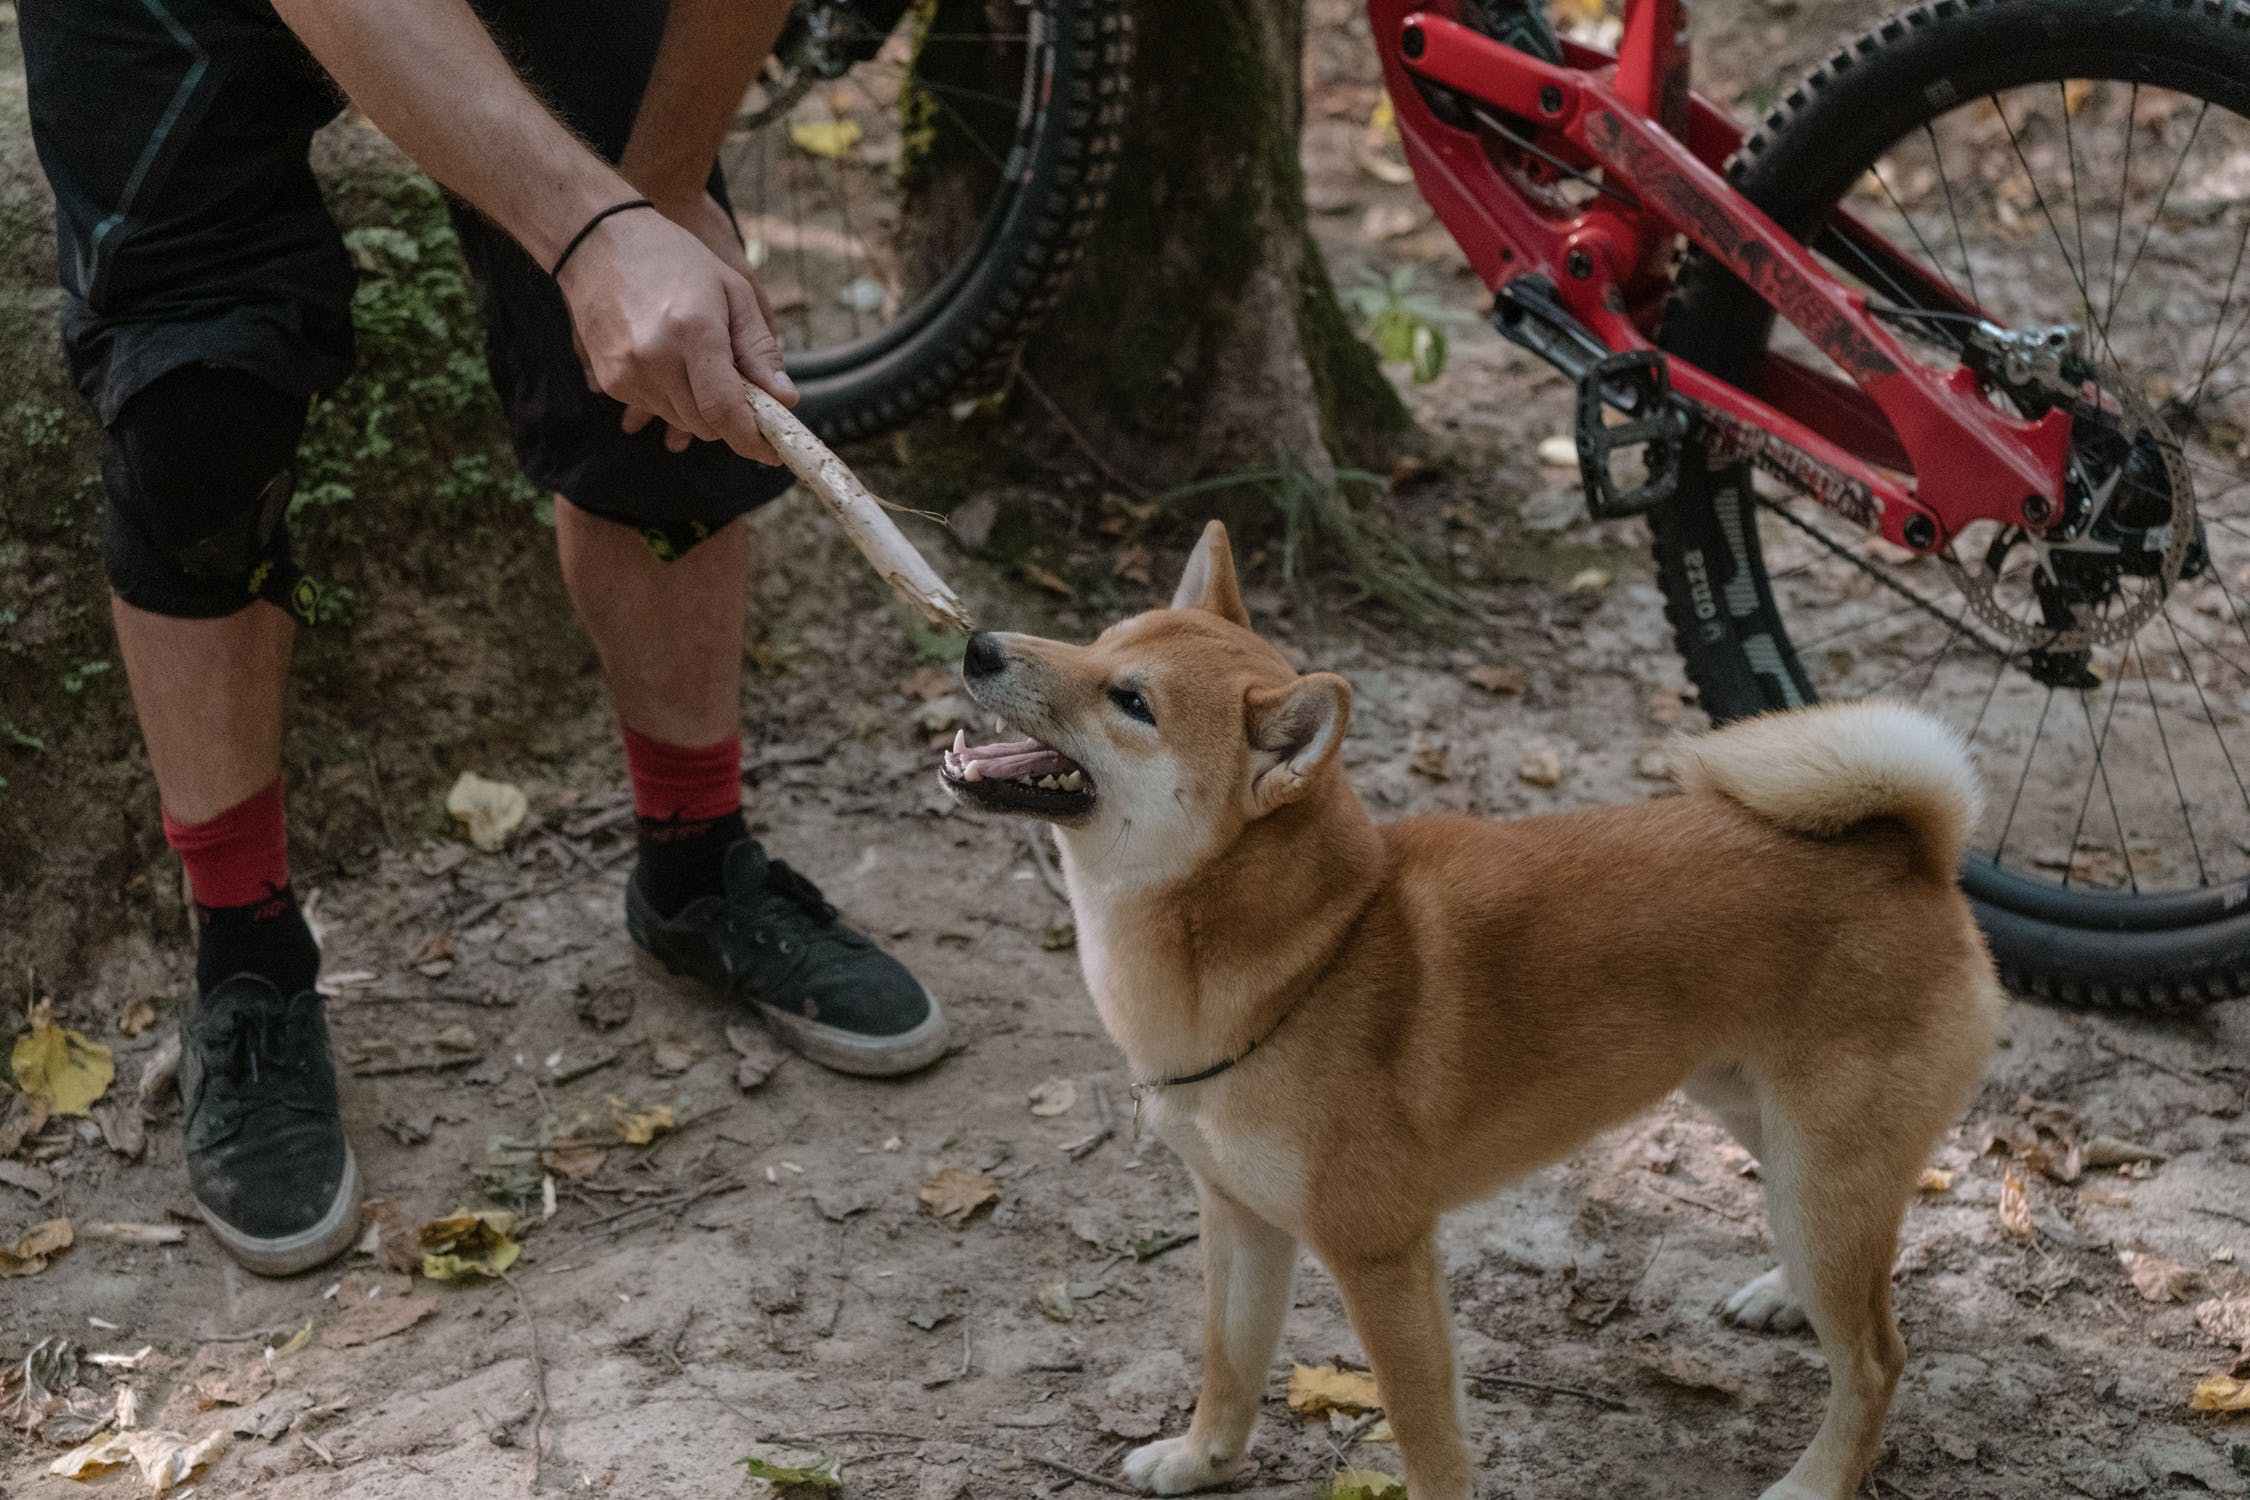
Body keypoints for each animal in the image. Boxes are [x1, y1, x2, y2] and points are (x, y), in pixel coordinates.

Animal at [940, 526, 1998, 1500]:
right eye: (1099, 640)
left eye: (1133, 702)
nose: (979, 644)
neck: (1309, 952)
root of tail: (1909, 854)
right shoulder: (1240, 1221)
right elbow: (1229, 1364)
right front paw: (1202, 1461)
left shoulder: (1381, 1258)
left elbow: (1424, 1433)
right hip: (1768, 1129)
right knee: (1858, 1258)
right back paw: (1788, 1295)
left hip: (1822, 1167)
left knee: (1876, 1357)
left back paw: (1817, 1475)